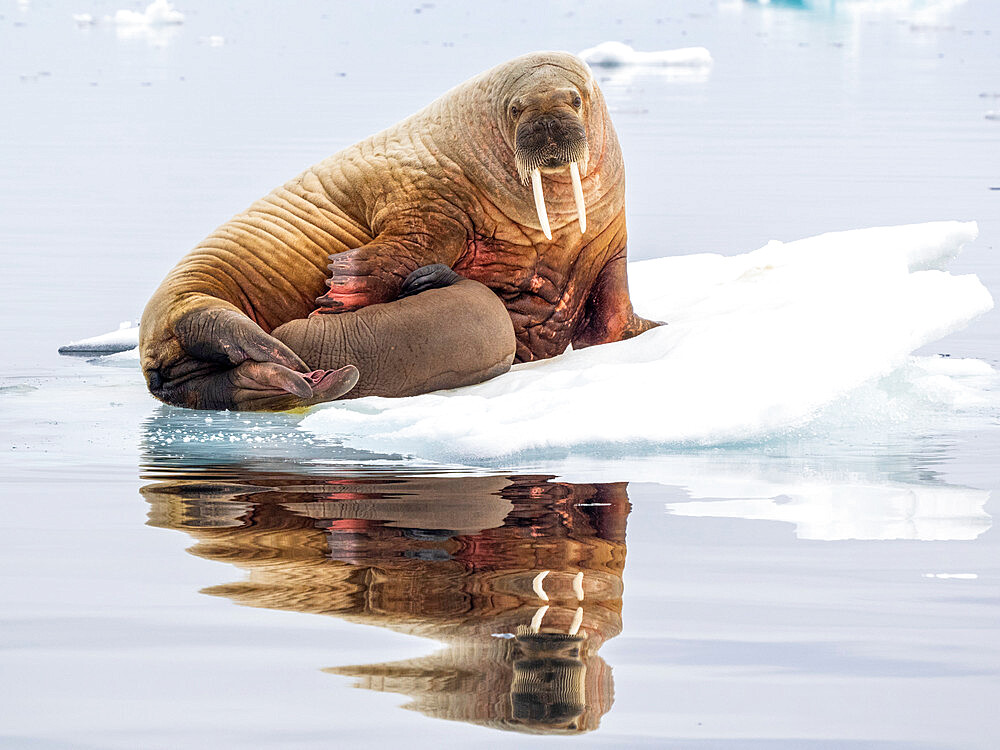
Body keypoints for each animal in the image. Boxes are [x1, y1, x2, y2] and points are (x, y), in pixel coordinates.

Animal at [139, 50, 656, 414]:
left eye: (575, 99)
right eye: (515, 108)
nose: (548, 125)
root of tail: (154, 368)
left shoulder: (610, 244)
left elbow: (614, 312)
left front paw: (648, 329)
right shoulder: (425, 200)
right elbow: (408, 244)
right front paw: (342, 289)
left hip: (198, 369)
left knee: (211, 381)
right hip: (186, 297)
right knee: (208, 322)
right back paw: (295, 363)